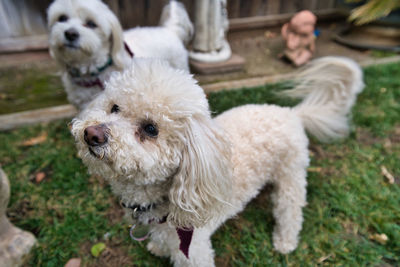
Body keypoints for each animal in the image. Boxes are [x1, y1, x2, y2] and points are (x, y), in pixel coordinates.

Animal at [71, 57, 362, 266]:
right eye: (114, 108)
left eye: (151, 129)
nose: (92, 134)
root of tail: (291, 113)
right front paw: (157, 248)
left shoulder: (194, 250)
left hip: (291, 176)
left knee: (290, 211)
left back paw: (285, 242)